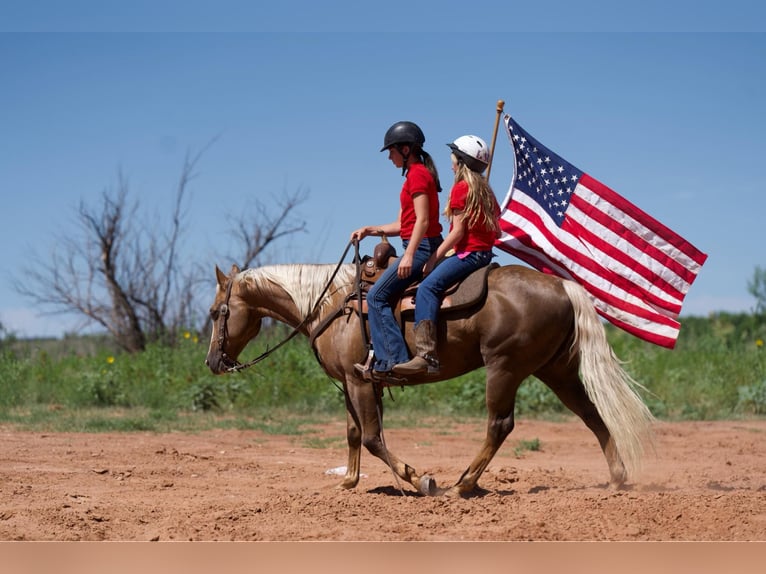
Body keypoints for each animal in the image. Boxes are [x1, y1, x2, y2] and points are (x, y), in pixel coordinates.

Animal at [207, 258, 656, 498]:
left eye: (215, 312)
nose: (213, 361)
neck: (333, 305)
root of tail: (563, 285)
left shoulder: (360, 382)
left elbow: (372, 438)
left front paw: (418, 477)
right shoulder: (352, 384)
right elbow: (354, 434)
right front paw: (349, 482)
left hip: (505, 367)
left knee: (500, 424)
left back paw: (463, 484)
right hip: (557, 371)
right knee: (593, 416)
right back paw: (618, 479)